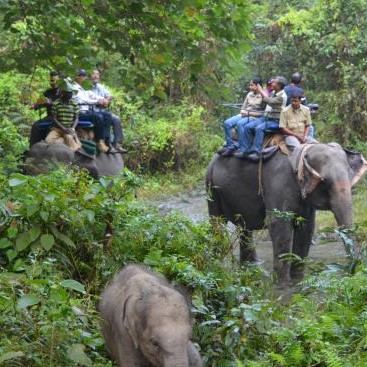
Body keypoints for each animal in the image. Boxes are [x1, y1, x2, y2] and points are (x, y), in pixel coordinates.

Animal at [207, 142, 367, 284]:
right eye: (324, 181)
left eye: (350, 177)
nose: (352, 272)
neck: (302, 154)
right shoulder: (277, 184)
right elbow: (280, 228)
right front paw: (283, 285)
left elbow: (306, 230)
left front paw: (297, 281)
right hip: (211, 187)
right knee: (217, 224)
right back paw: (216, 266)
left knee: (245, 229)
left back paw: (250, 267)